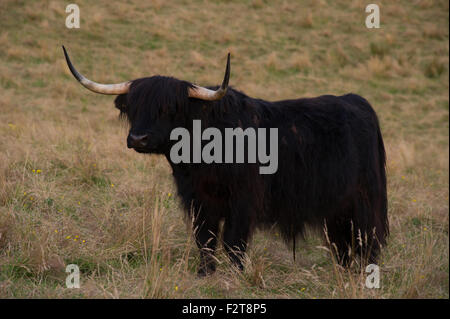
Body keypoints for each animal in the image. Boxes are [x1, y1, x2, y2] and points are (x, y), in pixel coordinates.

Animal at [62, 46, 386, 276]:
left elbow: (233, 240)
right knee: (343, 242)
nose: (138, 138)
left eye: (169, 108)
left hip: (364, 200)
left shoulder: (243, 199)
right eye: (132, 107)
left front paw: (236, 274)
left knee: (367, 238)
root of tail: (356, 100)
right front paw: (205, 273)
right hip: (336, 208)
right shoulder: (196, 199)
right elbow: (204, 237)